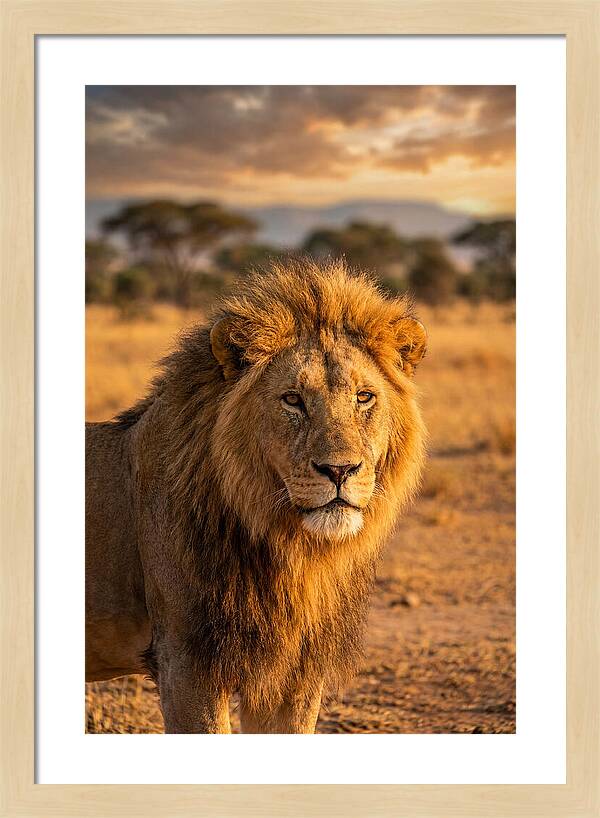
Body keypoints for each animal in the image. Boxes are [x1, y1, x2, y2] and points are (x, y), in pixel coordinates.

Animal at [86, 258, 427, 733]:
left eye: (364, 397)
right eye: (292, 400)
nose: (339, 470)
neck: (291, 551)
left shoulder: (295, 673)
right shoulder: (186, 663)